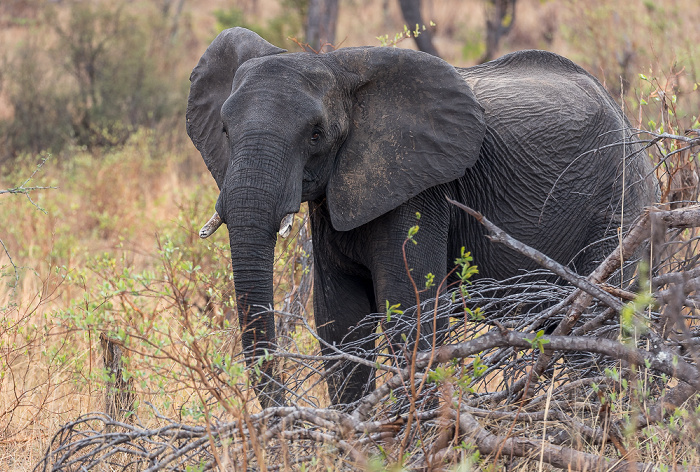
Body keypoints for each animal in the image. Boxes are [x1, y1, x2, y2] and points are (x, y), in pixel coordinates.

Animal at [185, 27, 656, 408]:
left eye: (316, 134)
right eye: (224, 130)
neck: (340, 70)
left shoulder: (422, 192)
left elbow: (410, 314)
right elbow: (340, 319)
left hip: (618, 201)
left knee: (597, 323)